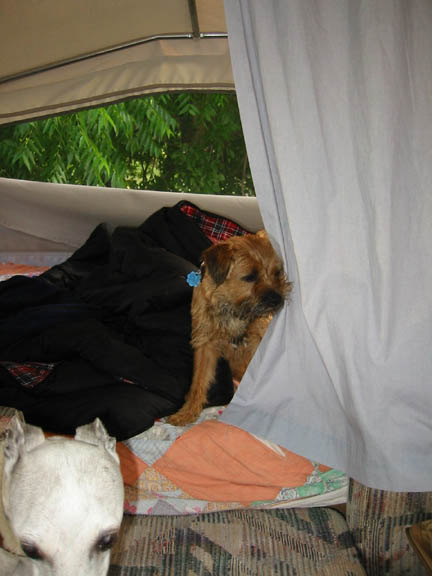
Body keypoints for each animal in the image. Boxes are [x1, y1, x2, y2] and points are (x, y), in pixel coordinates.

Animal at [168, 230, 291, 426]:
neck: (234, 310)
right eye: (250, 276)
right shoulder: (204, 346)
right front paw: (186, 412)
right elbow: (198, 382)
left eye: (277, 272)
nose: (277, 299)